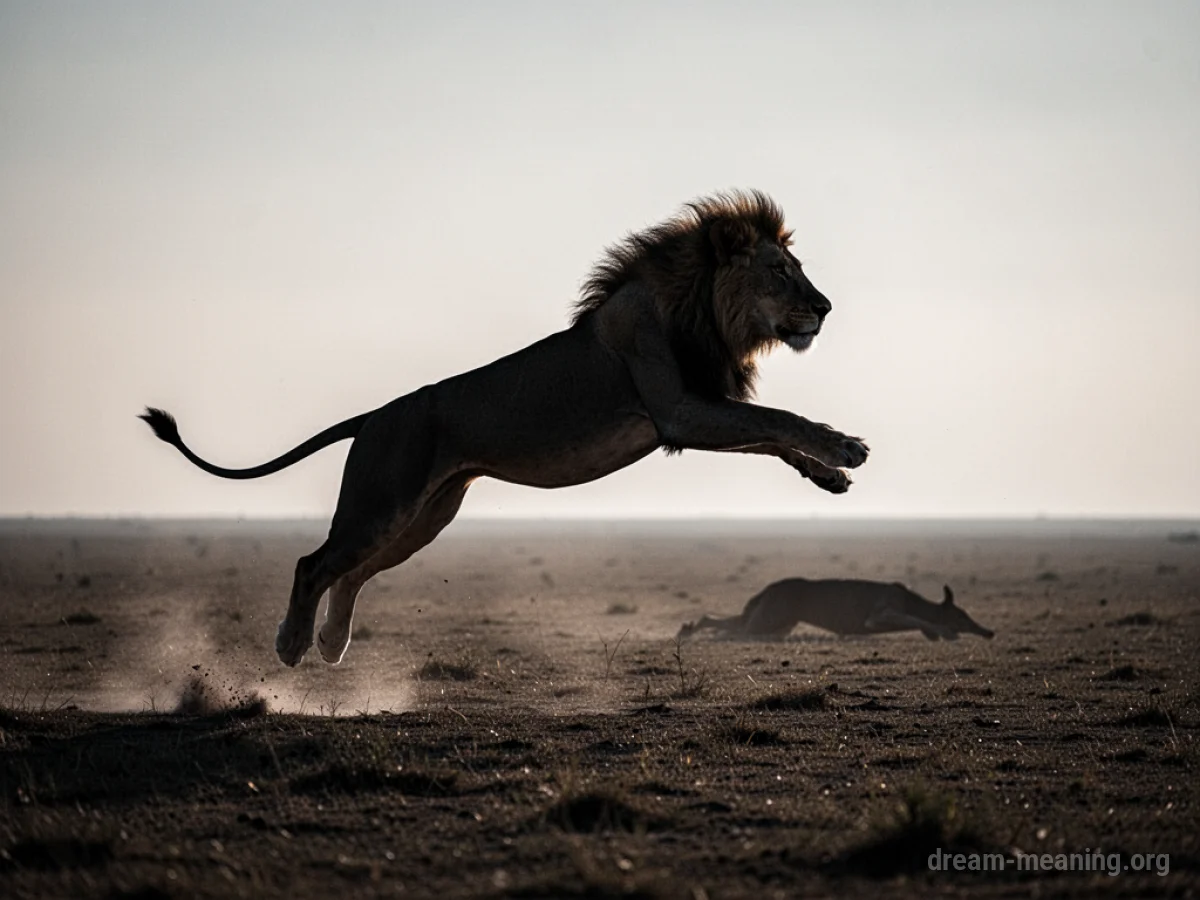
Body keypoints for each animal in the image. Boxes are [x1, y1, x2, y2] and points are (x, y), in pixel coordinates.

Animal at [141, 190, 870, 667]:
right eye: (780, 270)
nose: (826, 307)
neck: (705, 312)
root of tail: (376, 415)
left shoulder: (698, 409)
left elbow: (769, 436)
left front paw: (830, 476)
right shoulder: (679, 410)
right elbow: (774, 419)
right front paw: (845, 446)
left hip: (428, 515)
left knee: (350, 574)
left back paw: (330, 643)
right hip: (383, 501)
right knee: (312, 564)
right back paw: (294, 645)